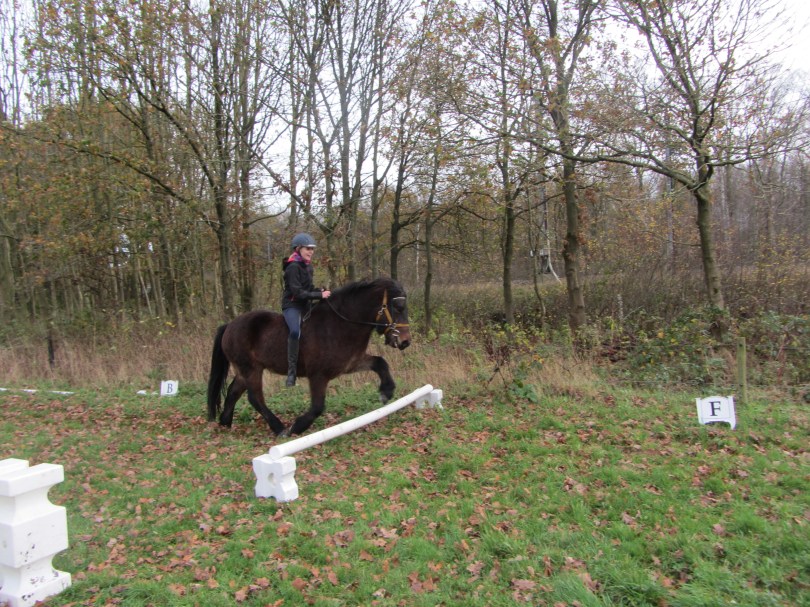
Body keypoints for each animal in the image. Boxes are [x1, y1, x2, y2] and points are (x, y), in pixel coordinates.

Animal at [206, 277, 412, 437]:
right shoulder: (318, 375)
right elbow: (317, 406)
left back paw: (225, 422)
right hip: (251, 369)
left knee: (234, 391)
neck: (340, 325)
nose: (405, 342)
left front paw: (386, 391)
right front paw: (298, 426)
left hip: (245, 370)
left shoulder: (351, 363)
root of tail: (229, 325)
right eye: (398, 307)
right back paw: (279, 428)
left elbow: (380, 363)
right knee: (254, 397)